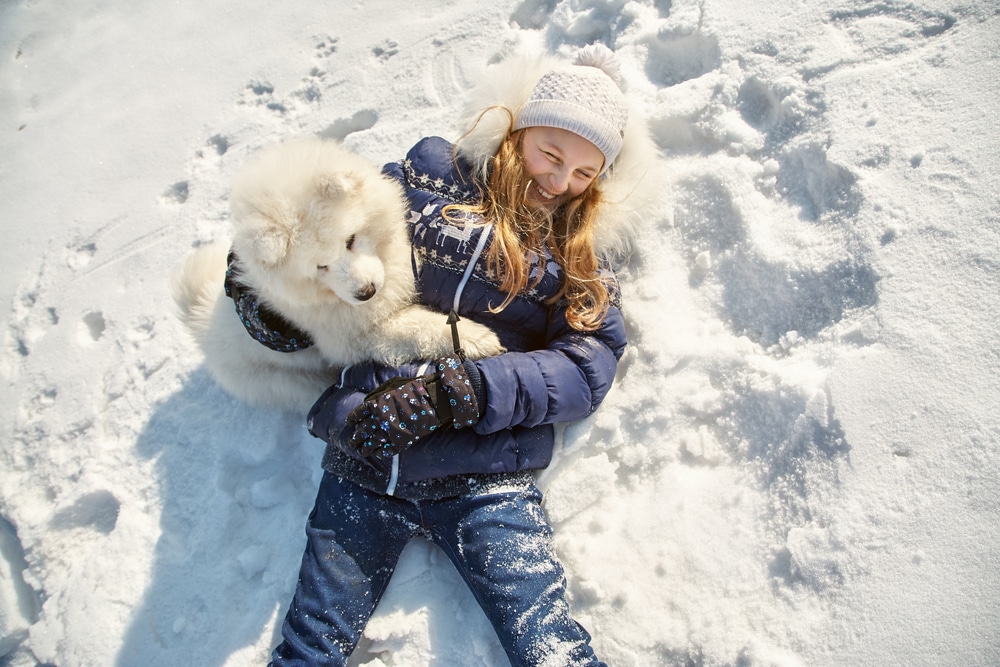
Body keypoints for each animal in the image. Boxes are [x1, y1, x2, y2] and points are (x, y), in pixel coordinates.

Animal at [172, 137, 504, 412]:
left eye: (350, 239)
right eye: (320, 267)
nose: (366, 292)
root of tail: (199, 316)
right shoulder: (352, 337)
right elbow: (415, 327)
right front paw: (477, 339)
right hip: (285, 382)